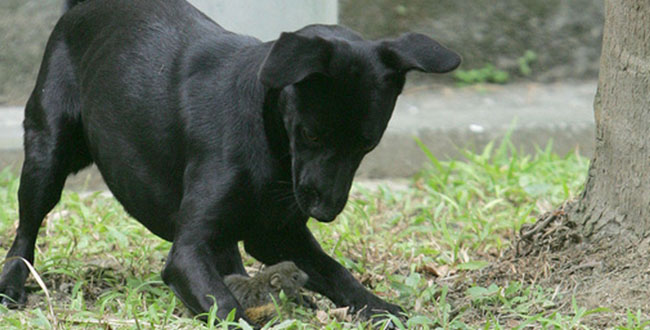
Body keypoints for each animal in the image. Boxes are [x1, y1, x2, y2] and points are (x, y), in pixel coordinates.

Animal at [0, 0, 458, 322]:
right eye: (312, 134)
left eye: (368, 144)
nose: (325, 211)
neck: (269, 136)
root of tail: (80, 9)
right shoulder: (187, 251)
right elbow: (226, 306)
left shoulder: (278, 233)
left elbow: (335, 272)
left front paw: (380, 307)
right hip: (46, 155)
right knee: (26, 230)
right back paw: (11, 283)